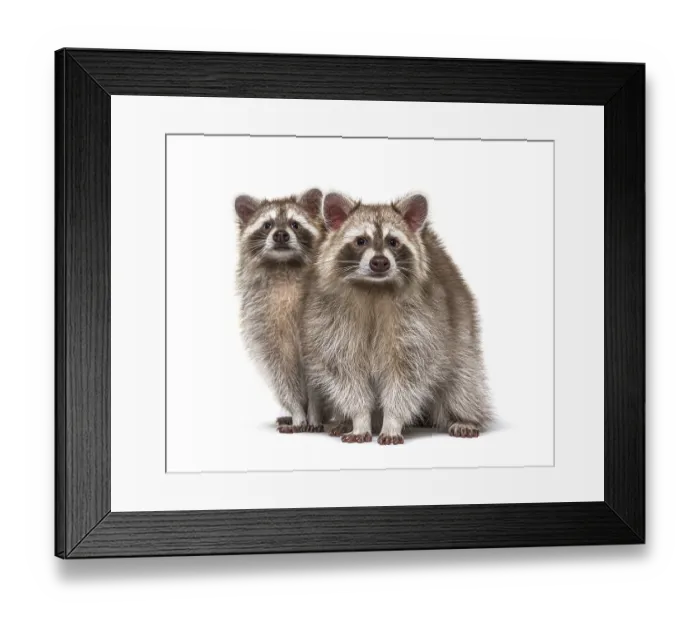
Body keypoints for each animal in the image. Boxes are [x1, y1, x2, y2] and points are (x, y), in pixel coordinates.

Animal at [235, 189, 326, 434]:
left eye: (295, 224)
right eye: (267, 225)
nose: (281, 235)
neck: (284, 266)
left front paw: (314, 412)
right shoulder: (261, 321)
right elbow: (282, 374)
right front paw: (297, 413)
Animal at [302, 192, 492, 445]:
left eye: (393, 242)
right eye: (360, 241)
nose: (380, 262)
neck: (374, 288)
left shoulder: (423, 320)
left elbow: (407, 376)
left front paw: (392, 422)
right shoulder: (331, 321)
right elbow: (346, 375)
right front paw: (359, 419)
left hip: (462, 337)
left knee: (463, 382)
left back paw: (465, 418)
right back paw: (343, 421)